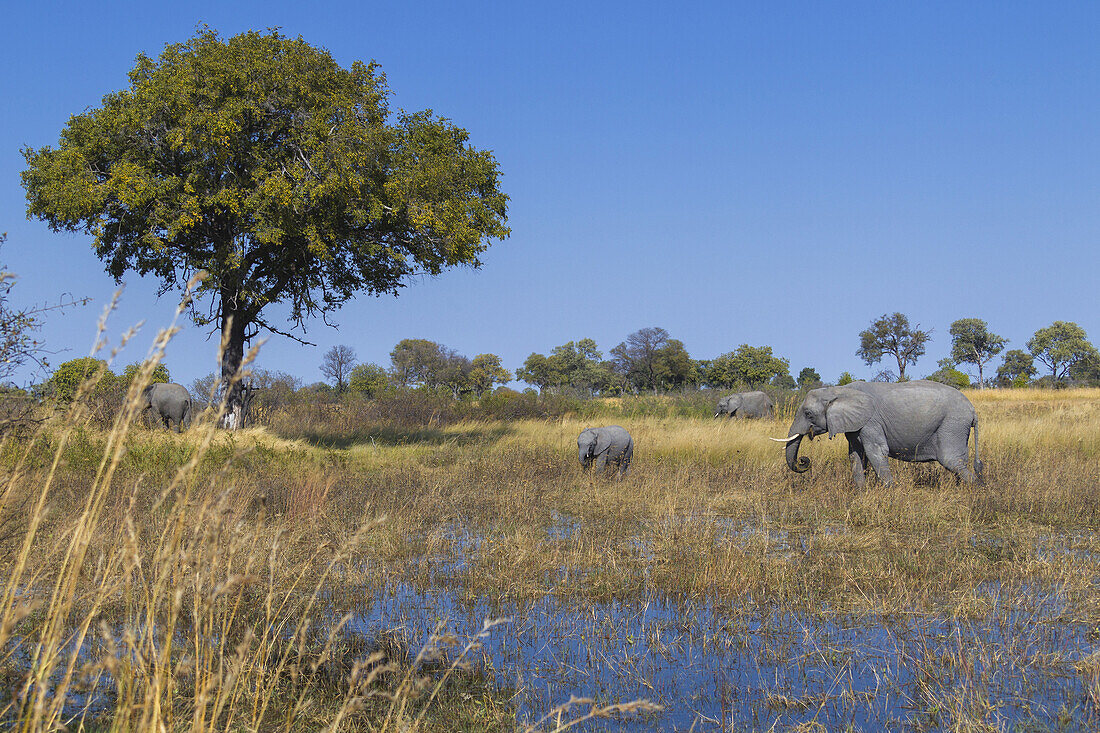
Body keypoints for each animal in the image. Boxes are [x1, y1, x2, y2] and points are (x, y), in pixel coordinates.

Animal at [778, 376, 985, 484]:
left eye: (808, 413)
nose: (804, 460)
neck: (839, 390)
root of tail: (973, 410)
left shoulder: (871, 422)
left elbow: (876, 452)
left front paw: (889, 492)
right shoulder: (855, 426)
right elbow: (856, 456)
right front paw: (861, 493)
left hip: (952, 425)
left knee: (952, 460)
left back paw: (973, 490)